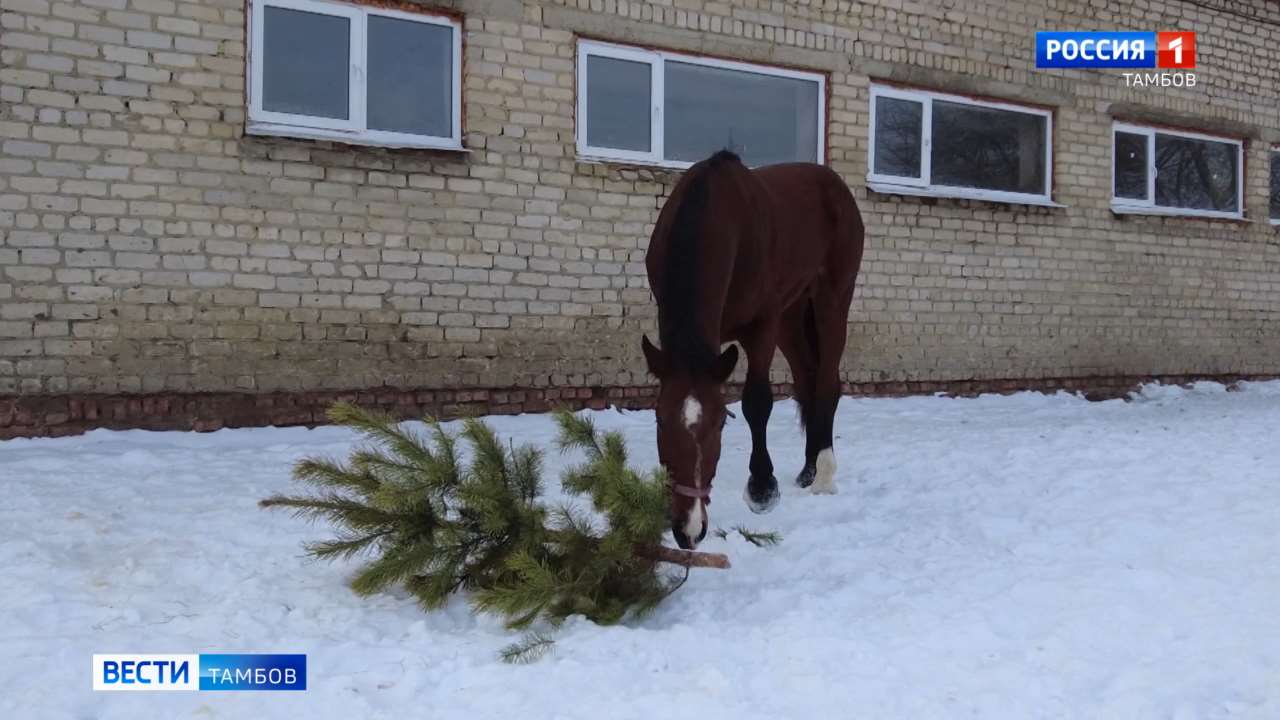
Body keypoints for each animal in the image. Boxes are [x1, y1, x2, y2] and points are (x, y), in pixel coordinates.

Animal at [645, 148, 865, 545]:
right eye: (659, 420)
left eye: (720, 423)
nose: (689, 530)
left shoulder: (762, 326)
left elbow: (757, 402)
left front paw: (763, 487)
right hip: (792, 315)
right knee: (807, 379)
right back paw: (808, 469)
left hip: (831, 299)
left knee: (827, 382)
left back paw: (824, 474)